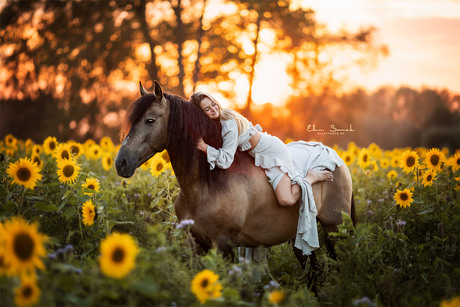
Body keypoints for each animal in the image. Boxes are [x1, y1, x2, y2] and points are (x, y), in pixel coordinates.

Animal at [115, 80, 356, 266]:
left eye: (150, 120)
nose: (120, 163)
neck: (204, 185)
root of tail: (335, 158)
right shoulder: (195, 244)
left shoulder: (224, 245)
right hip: (301, 238)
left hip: (337, 228)